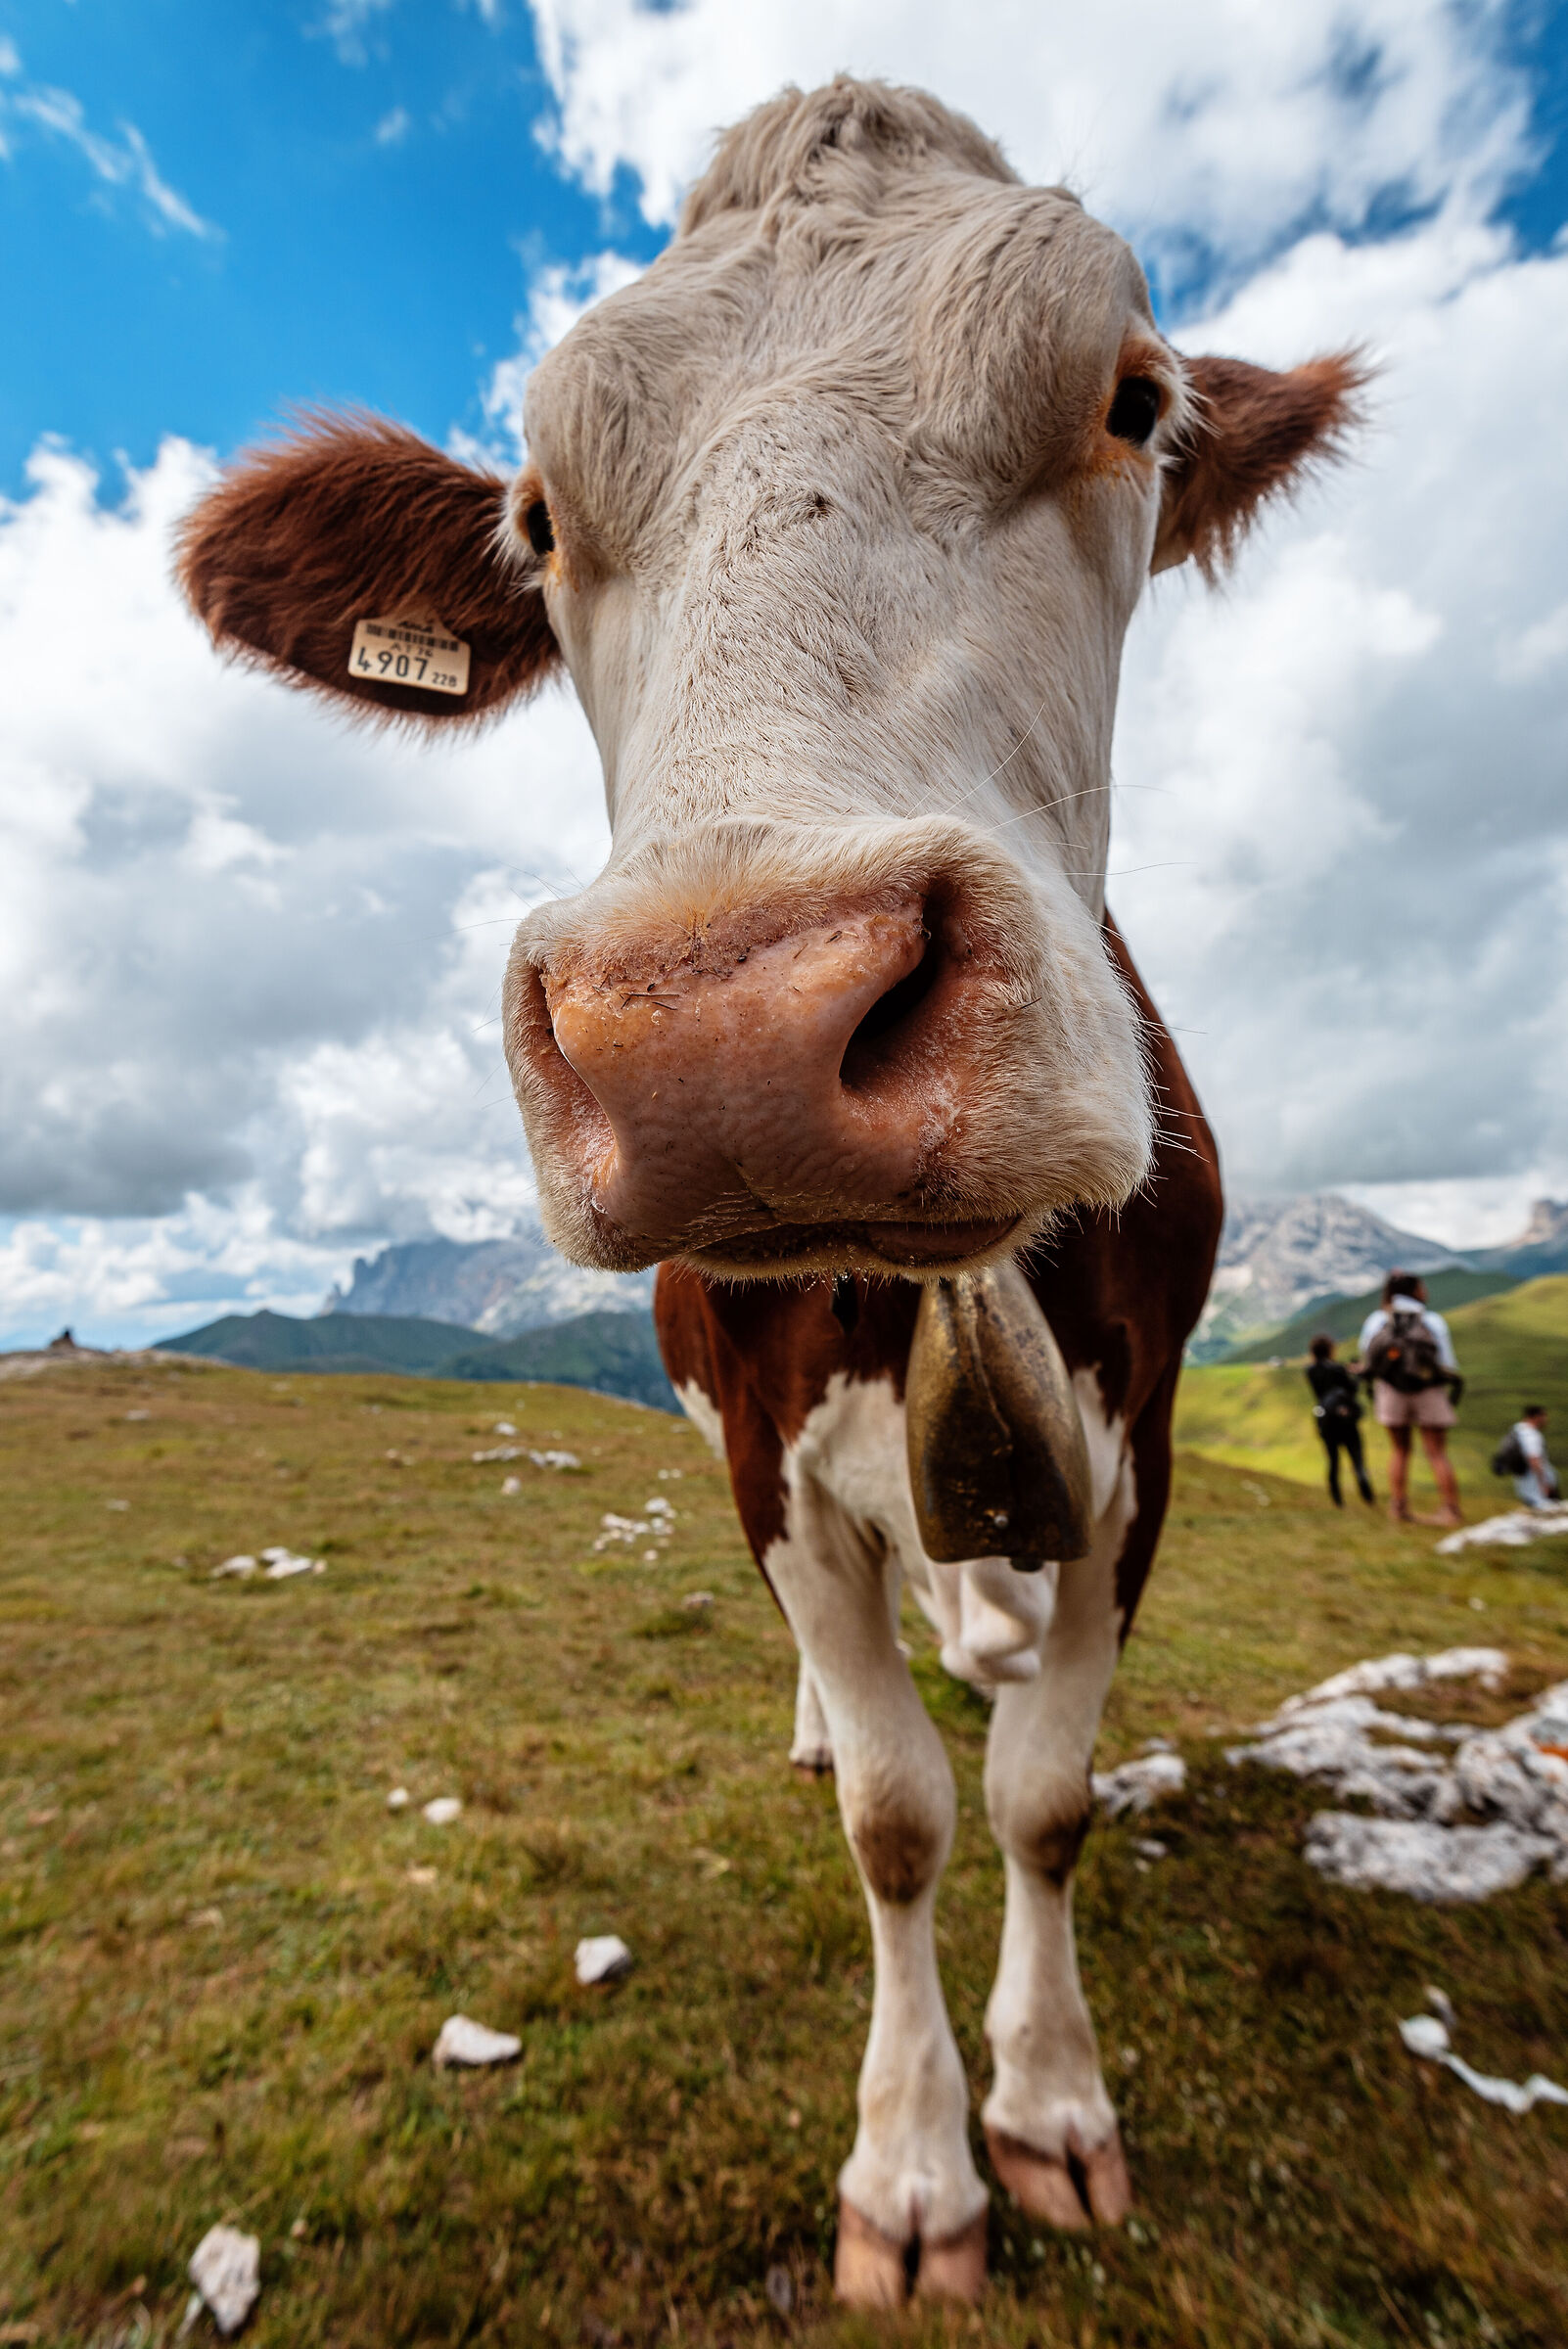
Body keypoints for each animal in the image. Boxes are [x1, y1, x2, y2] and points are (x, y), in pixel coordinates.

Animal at [178, 77, 1360, 2309]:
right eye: (538, 521)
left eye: (1133, 400)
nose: (723, 1029)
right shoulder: (753, 1453)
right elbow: (901, 1820)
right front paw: (914, 2171)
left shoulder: (1144, 1444)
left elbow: (1045, 1796)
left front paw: (1049, 2107)